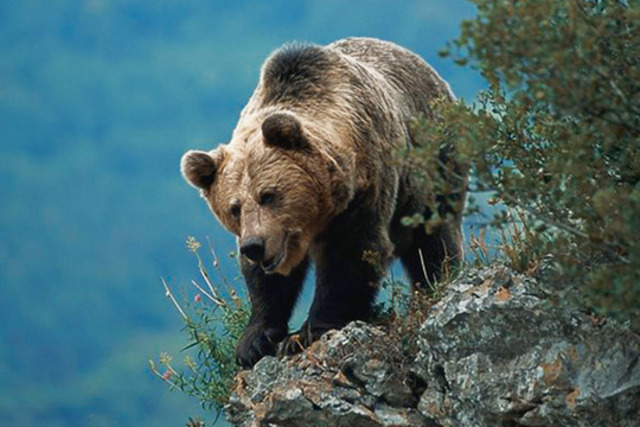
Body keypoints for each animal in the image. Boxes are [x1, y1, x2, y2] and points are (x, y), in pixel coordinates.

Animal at [181, 37, 466, 368]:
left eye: (269, 194)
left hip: (432, 165)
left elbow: (350, 256)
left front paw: (307, 333)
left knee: (433, 239)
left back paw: (438, 282)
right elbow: (267, 283)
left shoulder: (364, 190)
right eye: (234, 208)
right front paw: (254, 341)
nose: (254, 246)